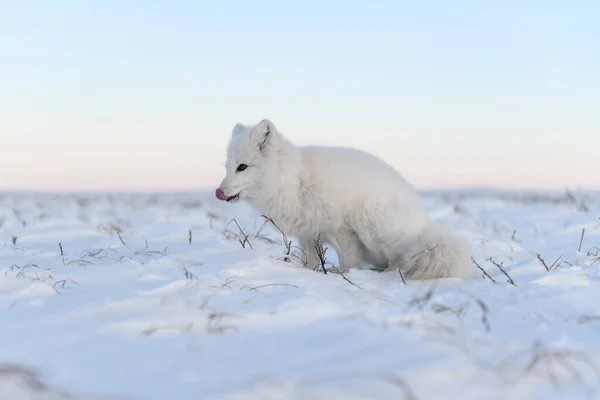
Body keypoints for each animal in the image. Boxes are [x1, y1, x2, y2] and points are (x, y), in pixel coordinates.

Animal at [216, 120, 474, 280]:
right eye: (227, 167)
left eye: (242, 167)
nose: (219, 191)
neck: (293, 181)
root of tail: (423, 222)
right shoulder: (308, 235)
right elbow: (310, 263)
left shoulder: (341, 231)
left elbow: (349, 262)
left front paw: (345, 276)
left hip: (372, 225)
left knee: (397, 259)